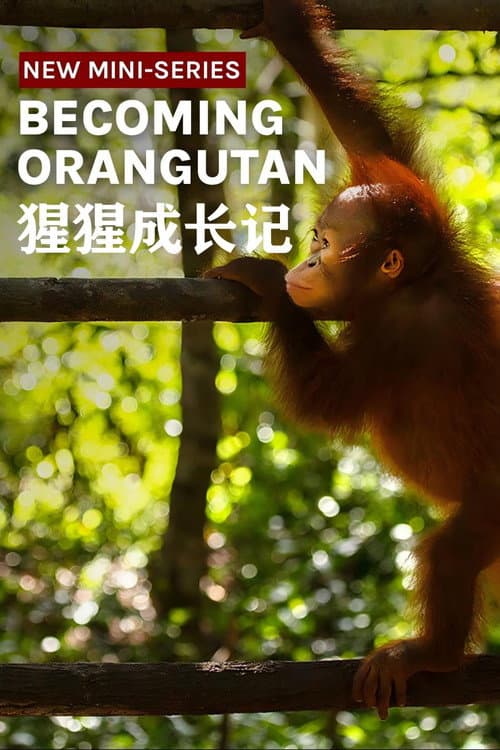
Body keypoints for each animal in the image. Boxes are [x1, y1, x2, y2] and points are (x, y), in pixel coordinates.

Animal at [205, 0, 500, 719]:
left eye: (330, 246)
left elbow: (326, 400)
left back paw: (432, 653)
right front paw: (287, 29)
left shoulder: (397, 334)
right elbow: (372, 141)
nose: (306, 263)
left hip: (497, 502)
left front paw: (267, 285)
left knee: (452, 553)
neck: (416, 281)